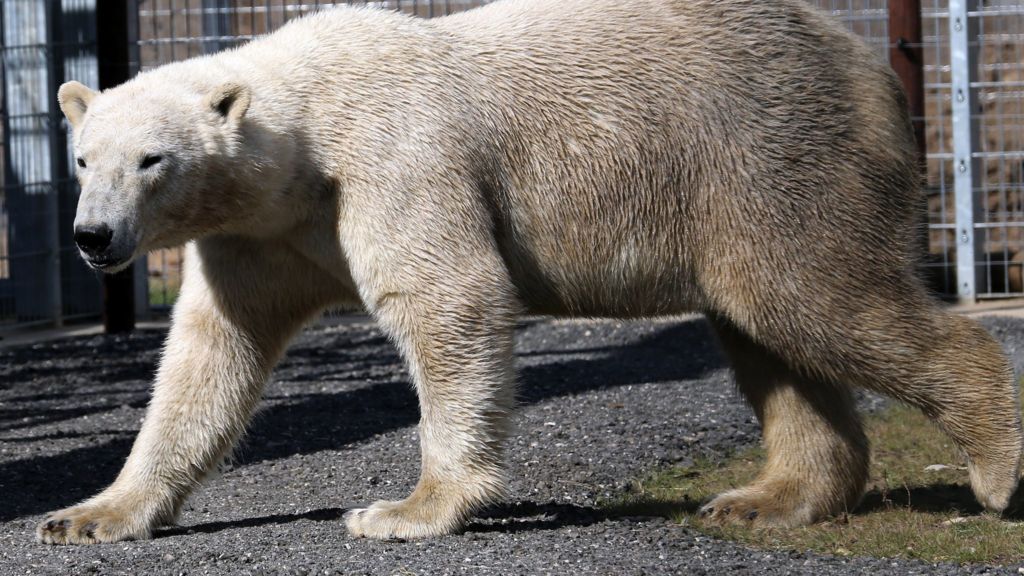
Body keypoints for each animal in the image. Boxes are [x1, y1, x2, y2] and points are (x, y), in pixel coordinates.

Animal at [36, 0, 1019, 541]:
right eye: (84, 157)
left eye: (153, 160)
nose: (92, 237)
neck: (303, 141)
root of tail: (873, 69)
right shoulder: (262, 237)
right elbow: (210, 359)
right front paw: (89, 513)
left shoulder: (396, 159)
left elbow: (449, 298)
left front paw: (408, 510)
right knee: (764, 332)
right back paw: (764, 498)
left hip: (771, 152)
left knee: (811, 298)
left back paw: (997, 469)